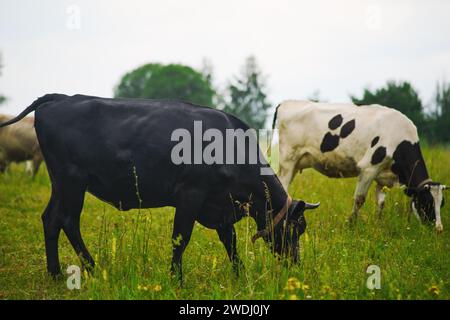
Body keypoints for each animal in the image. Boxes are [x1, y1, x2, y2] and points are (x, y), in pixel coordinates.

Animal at [1, 94, 322, 282]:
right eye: (296, 228)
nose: (294, 265)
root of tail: (60, 98)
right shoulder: (191, 195)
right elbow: (181, 238)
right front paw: (176, 278)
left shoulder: (220, 205)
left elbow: (229, 242)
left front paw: (239, 274)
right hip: (72, 181)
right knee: (65, 219)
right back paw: (86, 269)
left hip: (61, 183)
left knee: (51, 219)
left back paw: (57, 273)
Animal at [270, 101, 446, 231]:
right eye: (427, 202)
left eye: (442, 203)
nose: (438, 229)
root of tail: (287, 102)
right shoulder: (368, 168)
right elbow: (359, 199)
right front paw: (351, 224)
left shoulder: (383, 178)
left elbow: (381, 202)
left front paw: (378, 223)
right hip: (287, 161)